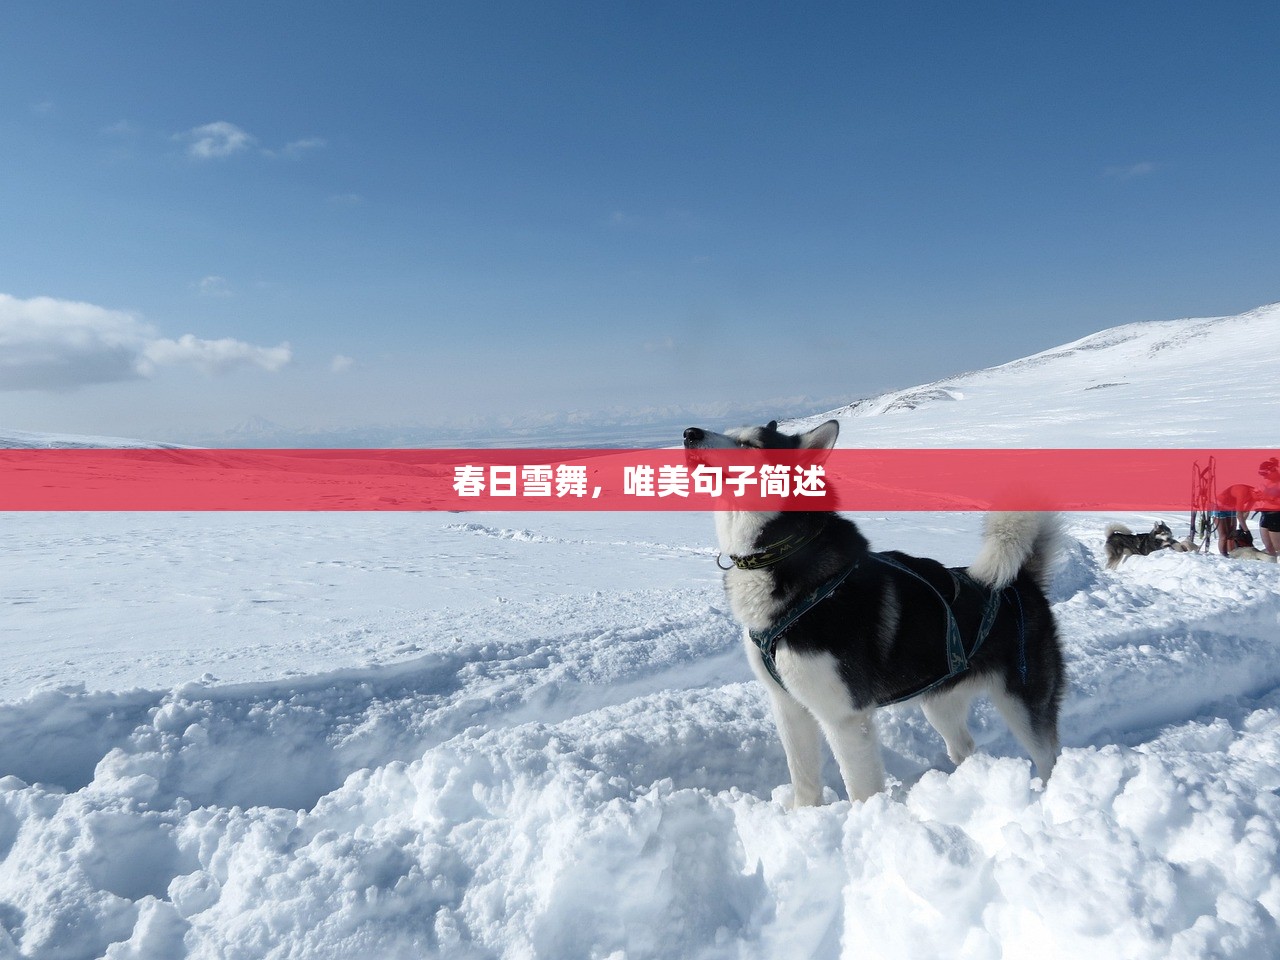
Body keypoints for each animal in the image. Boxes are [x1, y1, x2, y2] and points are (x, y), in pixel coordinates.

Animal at [686, 419, 1064, 803]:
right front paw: (805, 814)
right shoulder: (789, 706)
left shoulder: (844, 717)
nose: (690, 434)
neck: (785, 553)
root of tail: (1021, 581)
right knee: (965, 746)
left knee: (1049, 756)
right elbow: (804, 779)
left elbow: (861, 789)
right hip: (940, 701)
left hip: (1022, 702)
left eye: (750, 444)